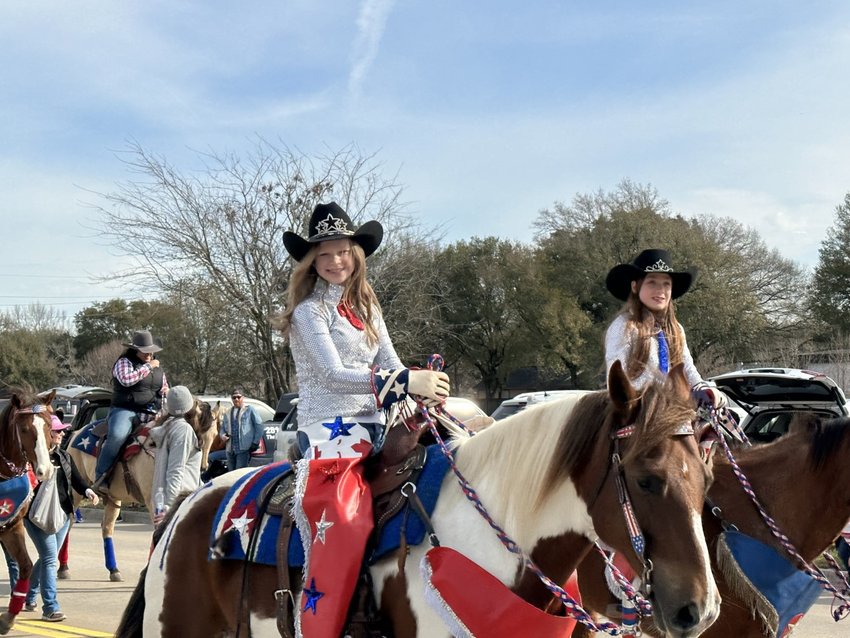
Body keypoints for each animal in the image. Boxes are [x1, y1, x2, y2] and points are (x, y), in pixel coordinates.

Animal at [66, 400, 215, 584]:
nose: (203, 468)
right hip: (77, 491)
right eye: (197, 435)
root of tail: (76, 433)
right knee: (68, 523)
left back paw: (114, 570)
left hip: (114, 498)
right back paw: (63, 568)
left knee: (107, 528)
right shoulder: (153, 500)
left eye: (215, 435)